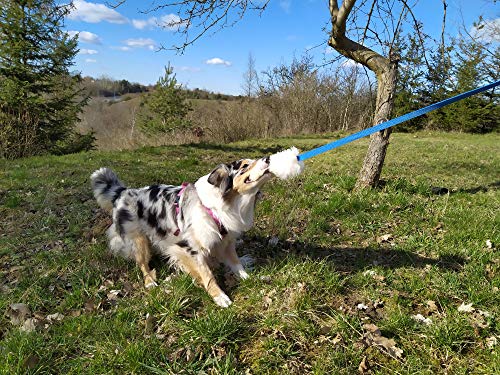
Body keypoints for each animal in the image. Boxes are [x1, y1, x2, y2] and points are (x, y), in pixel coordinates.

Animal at [92, 157, 276, 306]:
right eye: (245, 165)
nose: (268, 158)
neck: (216, 207)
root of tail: (122, 192)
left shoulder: (226, 241)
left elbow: (235, 263)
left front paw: (247, 278)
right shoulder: (189, 248)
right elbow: (207, 275)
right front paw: (219, 296)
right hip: (138, 240)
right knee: (142, 263)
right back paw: (150, 281)